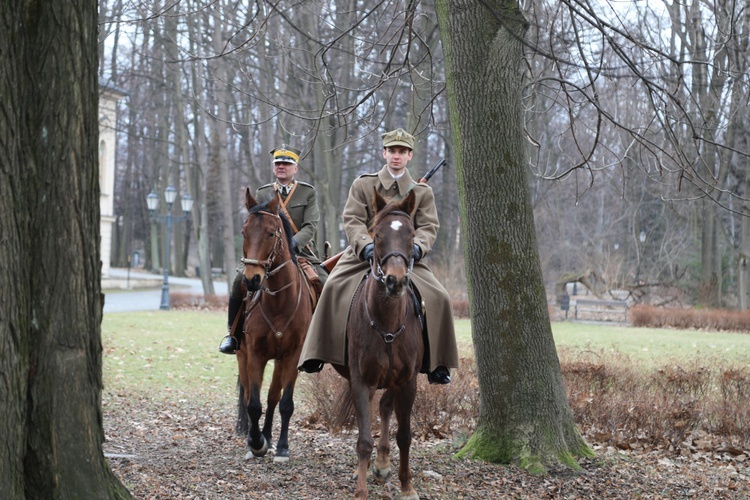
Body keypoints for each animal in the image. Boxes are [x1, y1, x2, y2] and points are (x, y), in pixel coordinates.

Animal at [236, 187, 316, 460]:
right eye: (244, 232)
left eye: (271, 233)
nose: (252, 280)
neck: (279, 301)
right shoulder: (255, 353)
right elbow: (253, 403)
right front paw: (256, 443)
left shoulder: (292, 356)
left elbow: (285, 403)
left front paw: (281, 446)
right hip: (242, 354)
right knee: (249, 393)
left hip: (281, 360)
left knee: (273, 396)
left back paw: (270, 437)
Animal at [340, 189, 424, 498]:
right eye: (376, 235)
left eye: (412, 235)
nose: (395, 281)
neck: (387, 324)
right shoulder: (361, 380)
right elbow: (364, 440)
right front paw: (361, 491)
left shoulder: (408, 382)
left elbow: (405, 435)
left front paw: (407, 485)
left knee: (386, 407)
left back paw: (384, 463)